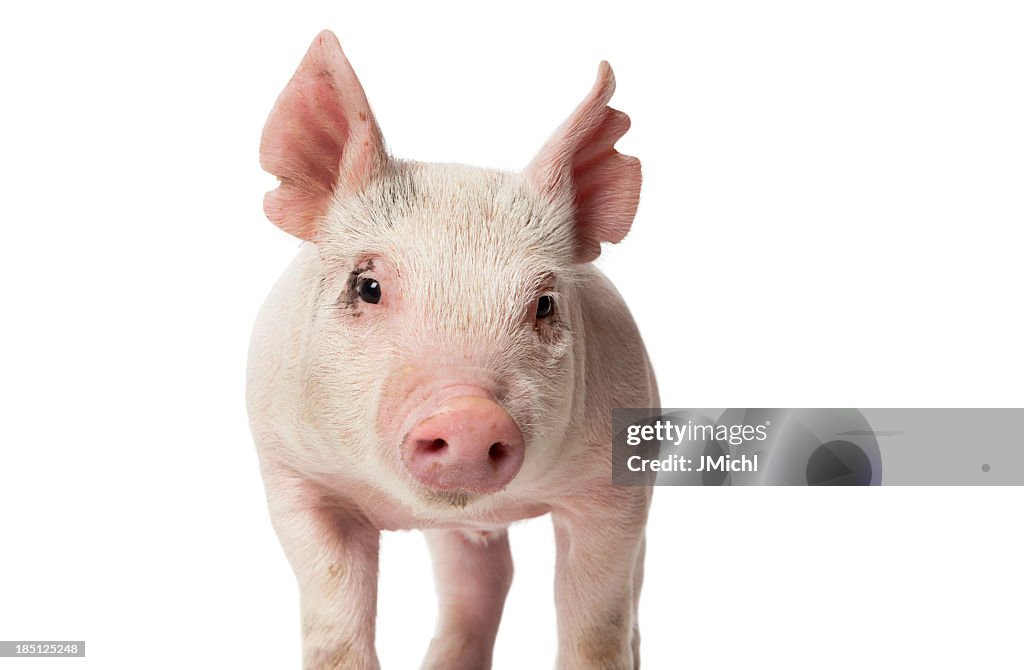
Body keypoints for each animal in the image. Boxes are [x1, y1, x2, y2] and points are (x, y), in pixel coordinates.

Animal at [251, 30, 659, 670]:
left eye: (544, 303)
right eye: (367, 286)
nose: (469, 414)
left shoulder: (615, 485)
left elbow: (597, 622)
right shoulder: (293, 473)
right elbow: (334, 625)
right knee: (480, 575)